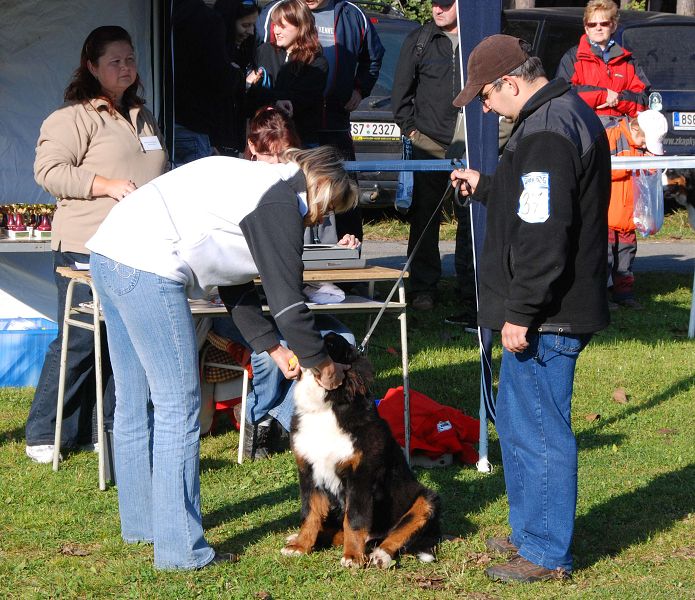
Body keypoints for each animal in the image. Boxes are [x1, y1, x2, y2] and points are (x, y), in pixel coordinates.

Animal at [282, 332, 440, 568]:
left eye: (330, 344)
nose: (300, 347)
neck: (325, 408)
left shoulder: (360, 476)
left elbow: (354, 520)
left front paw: (353, 557)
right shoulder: (308, 471)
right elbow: (310, 513)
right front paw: (301, 546)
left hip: (426, 500)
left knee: (397, 533)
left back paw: (381, 555)